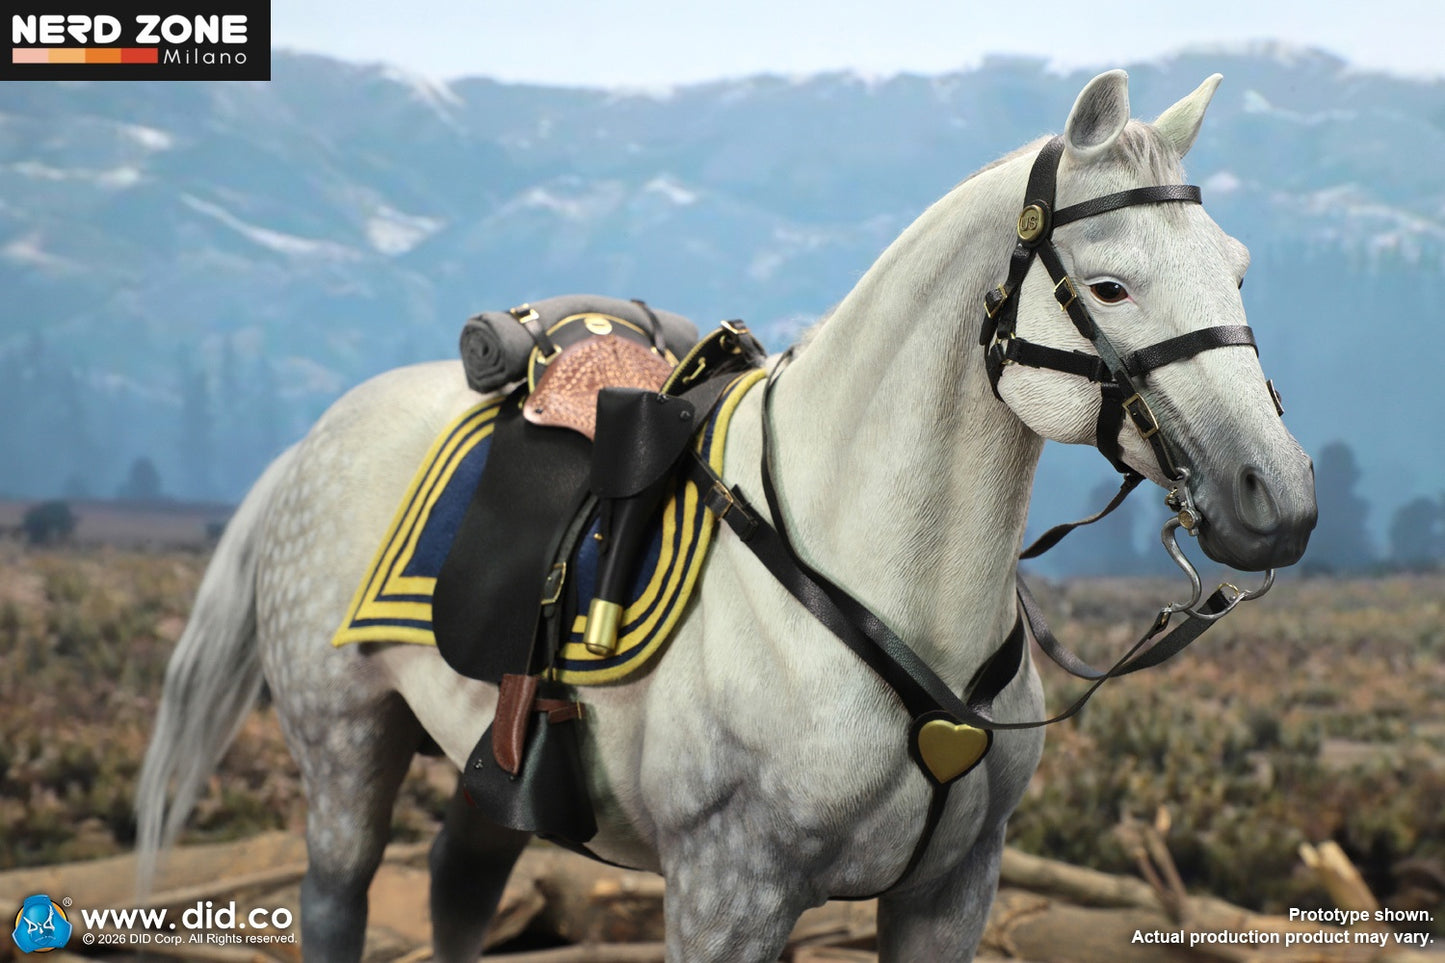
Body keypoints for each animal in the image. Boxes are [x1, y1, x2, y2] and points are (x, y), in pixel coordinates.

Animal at [136, 69, 1317, 962]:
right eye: (1109, 286)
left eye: (1239, 269)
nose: (1278, 500)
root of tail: (315, 439)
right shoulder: (726, 890)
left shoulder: (949, 894)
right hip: (344, 744)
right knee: (338, 898)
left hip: (484, 763)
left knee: (458, 887)